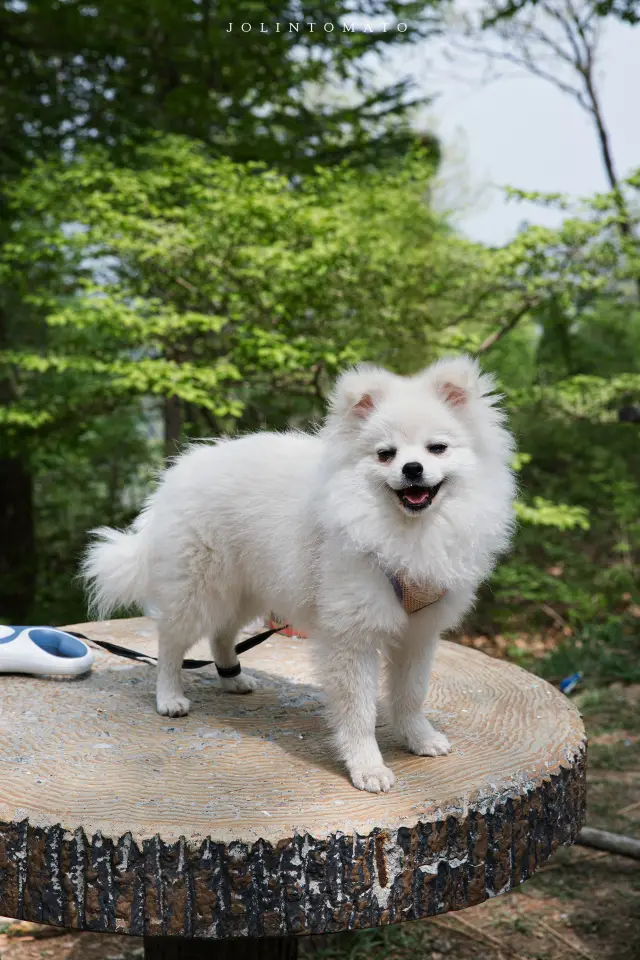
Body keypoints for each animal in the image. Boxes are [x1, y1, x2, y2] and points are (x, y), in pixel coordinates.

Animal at [84, 356, 516, 792]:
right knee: (172, 642)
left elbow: (411, 694)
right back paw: (170, 696)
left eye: (437, 448)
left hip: (249, 588)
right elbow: (359, 711)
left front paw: (419, 737)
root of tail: (174, 477)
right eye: (385, 454)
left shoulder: (419, 632)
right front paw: (368, 767)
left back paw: (232, 678)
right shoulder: (353, 635)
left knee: (221, 633)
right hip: (200, 588)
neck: (405, 531)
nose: (412, 468)